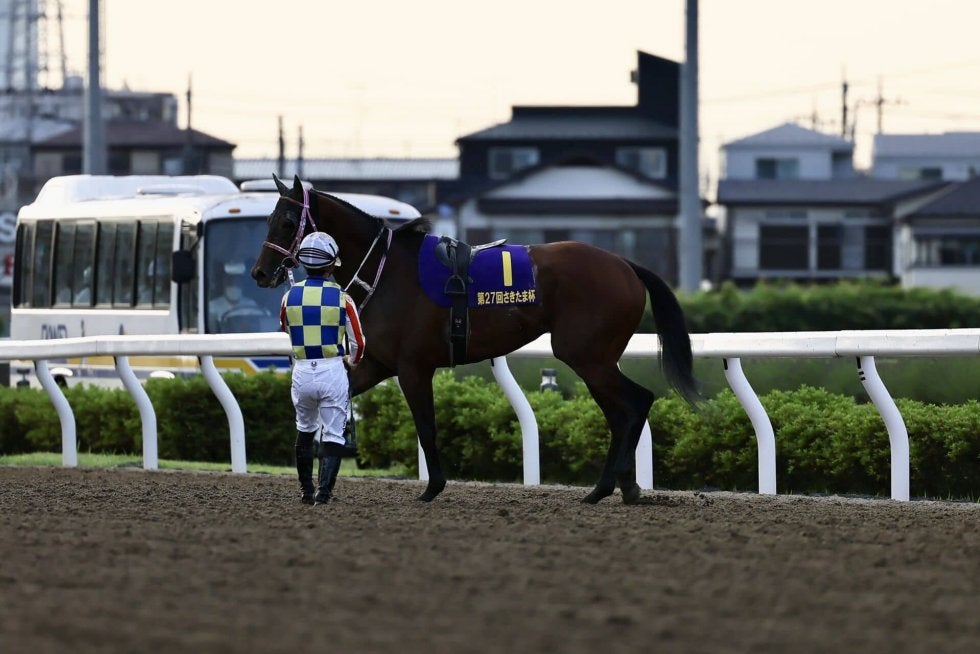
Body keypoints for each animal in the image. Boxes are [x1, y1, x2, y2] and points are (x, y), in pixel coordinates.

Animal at [252, 175, 699, 504]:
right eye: (270, 220)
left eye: (287, 222)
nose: (261, 272)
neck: (385, 271)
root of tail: (625, 264)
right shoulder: (377, 364)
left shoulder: (413, 368)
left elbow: (426, 426)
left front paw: (432, 488)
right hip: (596, 359)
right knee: (623, 412)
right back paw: (620, 487)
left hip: (586, 356)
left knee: (635, 403)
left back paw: (609, 487)